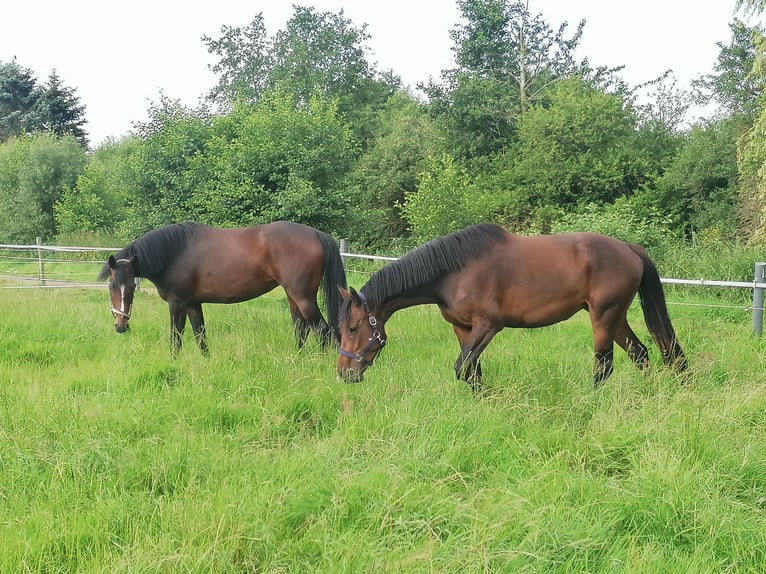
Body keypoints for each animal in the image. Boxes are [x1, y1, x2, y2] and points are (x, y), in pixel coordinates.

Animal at [99, 220, 348, 356]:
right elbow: (200, 335)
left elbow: (176, 337)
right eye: (111, 286)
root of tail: (317, 234)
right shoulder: (193, 304)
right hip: (292, 295)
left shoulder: (177, 303)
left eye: (130, 286)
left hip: (303, 296)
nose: (120, 326)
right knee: (301, 327)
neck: (175, 252)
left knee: (322, 330)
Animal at [340, 223, 688, 390]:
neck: (453, 271)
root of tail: (630, 249)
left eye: (353, 327)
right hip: (614, 317)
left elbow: (462, 368)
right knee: (640, 354)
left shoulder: (488, 325)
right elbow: (472, 372)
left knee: (604, 366)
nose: (344, 373)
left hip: (604, 317)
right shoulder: (462, 328)